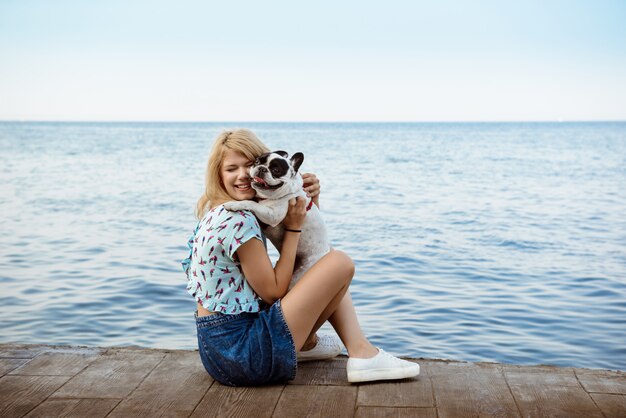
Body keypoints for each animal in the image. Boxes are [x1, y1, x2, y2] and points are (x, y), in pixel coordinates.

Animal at [224, 152, 332, 286]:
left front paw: (234, 204)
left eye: (276, 170)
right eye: (257, 161)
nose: (262, 168)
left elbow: (251, 203)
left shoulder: (273, 216)